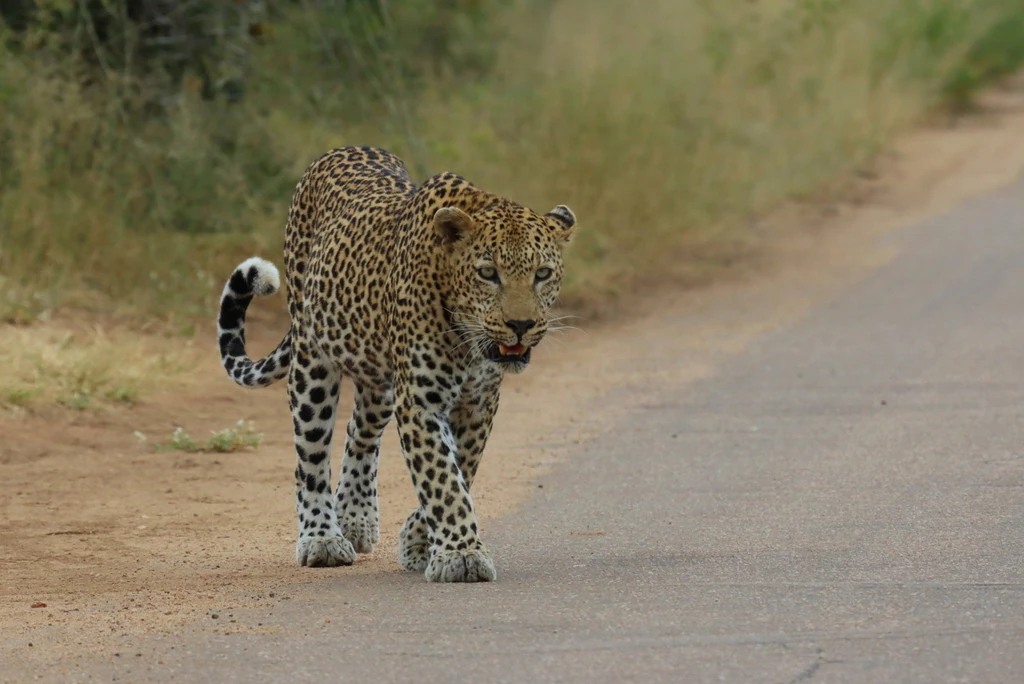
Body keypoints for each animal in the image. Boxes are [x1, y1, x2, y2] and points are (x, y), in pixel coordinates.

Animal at [215, 144, 577, 581]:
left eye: (543, 273)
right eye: (488, 273)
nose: (520, 325)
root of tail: (344, 148)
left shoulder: (478, 403)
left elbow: (460, 470)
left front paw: (421, 543)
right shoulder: (420, 400)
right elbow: (442, 479)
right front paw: (461, 554)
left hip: (379, 380)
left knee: (360, 431)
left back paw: (355, 518)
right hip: (312, 364)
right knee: (311, 456)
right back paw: (322, 537)